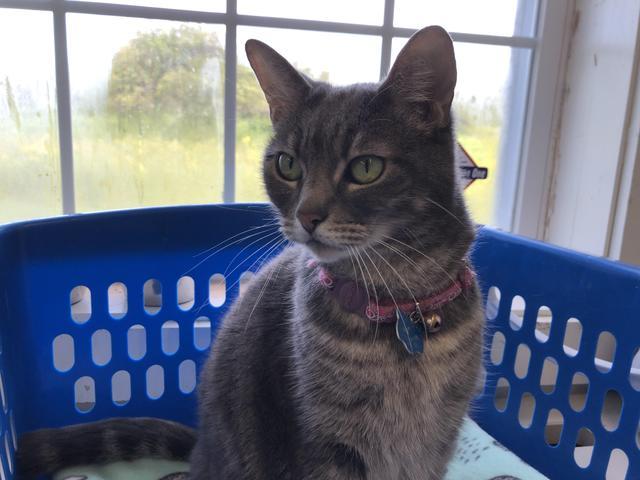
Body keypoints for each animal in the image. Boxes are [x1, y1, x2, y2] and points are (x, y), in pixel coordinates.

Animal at [17, 25, 482, 480]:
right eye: (287, 165)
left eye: (366, 167)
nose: (307, 215)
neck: (398, 300)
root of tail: (199, 451)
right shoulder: (324, 445)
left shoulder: (435, 445)